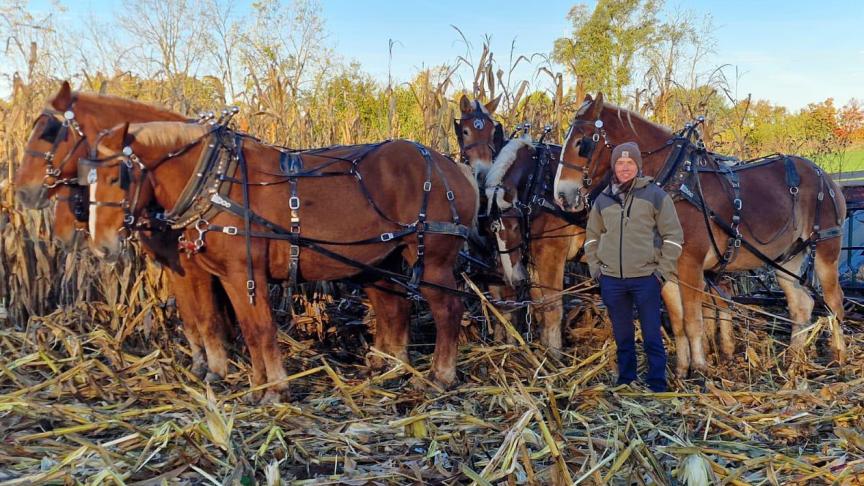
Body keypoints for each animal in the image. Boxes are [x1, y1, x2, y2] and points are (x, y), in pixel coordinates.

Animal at [14, 82, 234, 380]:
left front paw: (216, 368)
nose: (23, 192)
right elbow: (190, 315)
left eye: (48, 133)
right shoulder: (176, 267)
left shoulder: (195, 267)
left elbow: (206, 316)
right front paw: (200, 363)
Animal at [86, 120, 478, 402]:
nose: (101, 247)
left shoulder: (246, 273)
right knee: (394, 308)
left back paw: (439, 377)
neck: (215, 181)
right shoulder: (228, 277)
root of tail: (451, 166)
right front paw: (258, 384)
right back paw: (390, 367)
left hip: (432, 259)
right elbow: (245, 327)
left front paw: (274, 388)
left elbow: (260, 329)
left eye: (116, 177)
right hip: (381, 258)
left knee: (448, 310)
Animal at [554, 93, 847, 376]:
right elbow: (678, 322)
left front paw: (701, 369)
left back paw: (838, 357)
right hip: (787, 258)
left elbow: (694, 321)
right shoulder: (666, 270)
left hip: (826, 248)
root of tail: (825, 177)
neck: (673, 182)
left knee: (834, 301)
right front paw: (682, 370)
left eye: (581, 143)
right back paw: (794, 362)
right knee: (802, 305)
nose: (561, 195)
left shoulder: (690, 265)